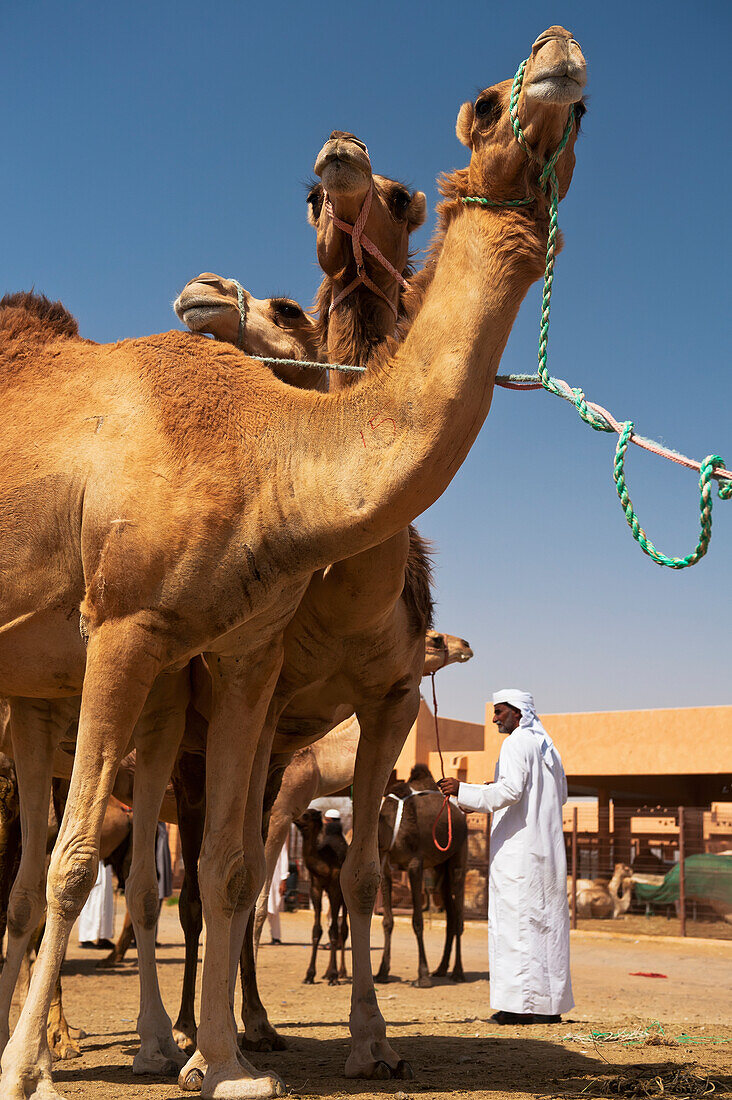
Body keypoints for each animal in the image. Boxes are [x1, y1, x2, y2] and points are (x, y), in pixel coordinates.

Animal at [292, 814, 347, 985]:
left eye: (307, 815)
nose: (295, 818)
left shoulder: (335, 889)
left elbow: (334, 930)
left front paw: (334, 976)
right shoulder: (315, 888)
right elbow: (317, 930)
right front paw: (309, 975)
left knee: (343, 929)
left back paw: (341, 972)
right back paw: (327, 973)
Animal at [376, 765, 468, 990]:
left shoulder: (414, 865)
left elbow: (417, 920)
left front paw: (423, 976)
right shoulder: (386, 867)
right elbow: (387, 921)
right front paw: (382, 973)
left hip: (458, 855)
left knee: (458, 915)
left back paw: (458, 972)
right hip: (440, 867)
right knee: (450, 914)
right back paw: (441, 969)